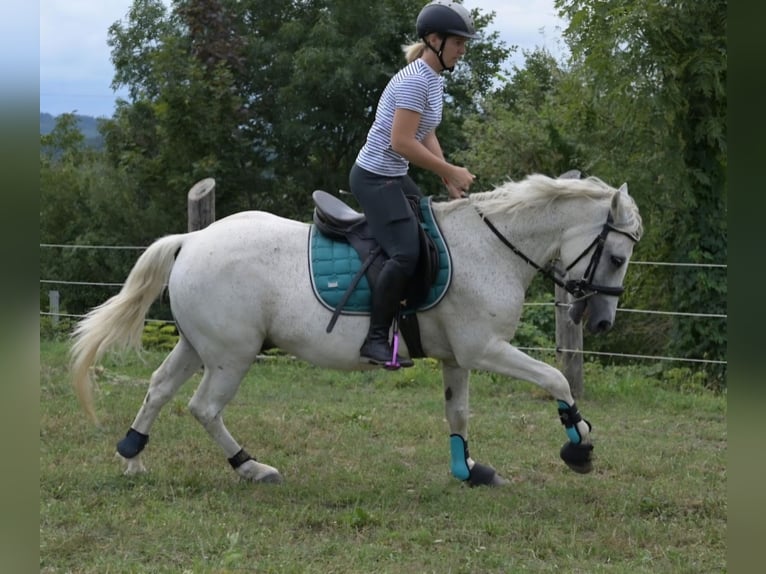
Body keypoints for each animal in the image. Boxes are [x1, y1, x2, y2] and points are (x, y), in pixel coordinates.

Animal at [70, 173, 640, 488]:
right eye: (616, 257)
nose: (602, 322)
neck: (490, 249)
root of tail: (192, 239)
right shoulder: (485, 349)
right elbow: (556, 380)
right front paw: (580, 447)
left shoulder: (457, 357)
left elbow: (457, 412)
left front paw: (468, 470)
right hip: (232, 355)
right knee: (204, 407)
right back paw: (252, 468)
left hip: (197, 344)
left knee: (159, 388)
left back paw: (132, 457)